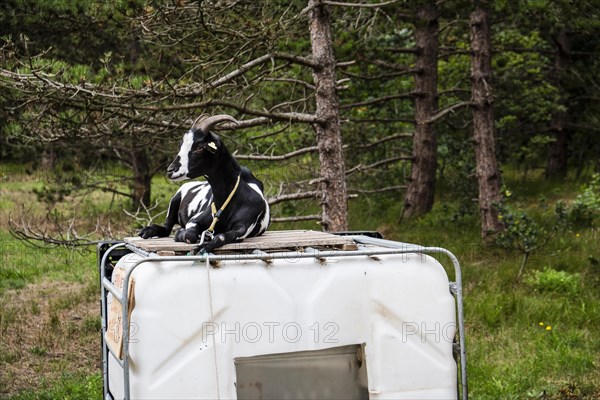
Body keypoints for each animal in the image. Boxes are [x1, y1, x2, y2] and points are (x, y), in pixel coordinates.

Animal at [138, 114, 270, 253]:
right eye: (181, 146)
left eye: (199, 147)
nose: (170, 170)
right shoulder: (195, 220)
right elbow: (190, 234)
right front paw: (181, 233)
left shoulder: (242, 228)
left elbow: (221, 236)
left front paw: (203, 246)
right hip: (175, 200)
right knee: (167, 227)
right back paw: (147, 231)